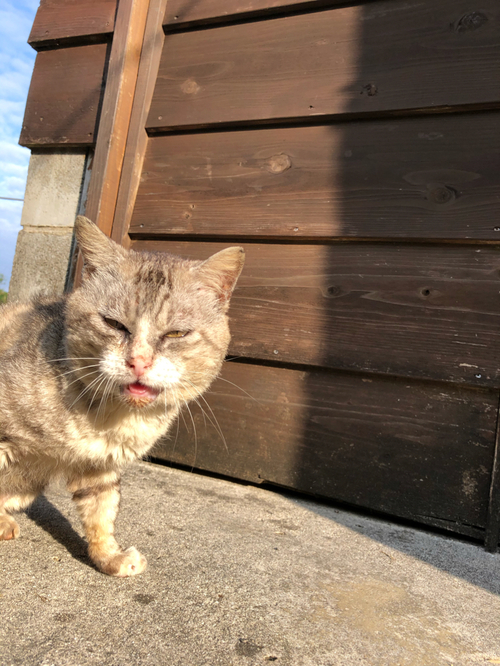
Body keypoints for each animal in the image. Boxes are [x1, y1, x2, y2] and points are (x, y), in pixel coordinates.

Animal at [0, 215, 244, 572]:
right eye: (114, 324)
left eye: (176, 333)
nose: (138, 361)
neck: (106, 417)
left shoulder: (101, 466)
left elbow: (102, 511)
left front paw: (110, 557)